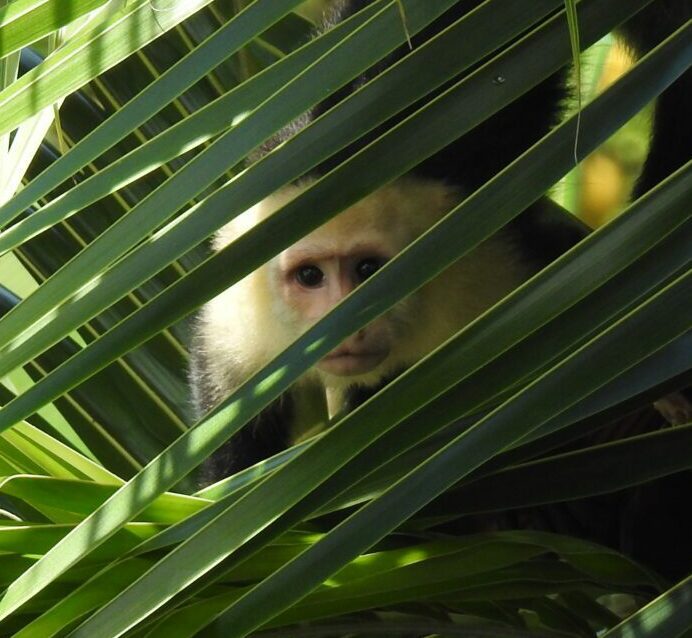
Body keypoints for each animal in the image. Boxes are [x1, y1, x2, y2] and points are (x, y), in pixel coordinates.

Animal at [189, 0, 692, 580]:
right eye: (311, 276)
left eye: (367, 270)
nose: (342, 327)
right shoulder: (239, 327)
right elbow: (232, 464)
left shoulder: (482, 267)